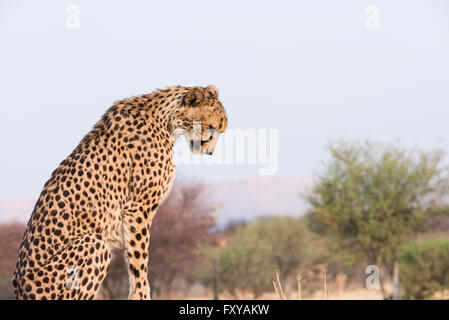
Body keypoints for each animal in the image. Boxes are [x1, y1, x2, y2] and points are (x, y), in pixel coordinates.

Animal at [11, 85, 228, 300]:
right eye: (212, 128)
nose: (210, 152)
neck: (166, 119)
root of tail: (20, 290)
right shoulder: (138, 209)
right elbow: (138, 260)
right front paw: (141, 294)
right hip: (94, 243)